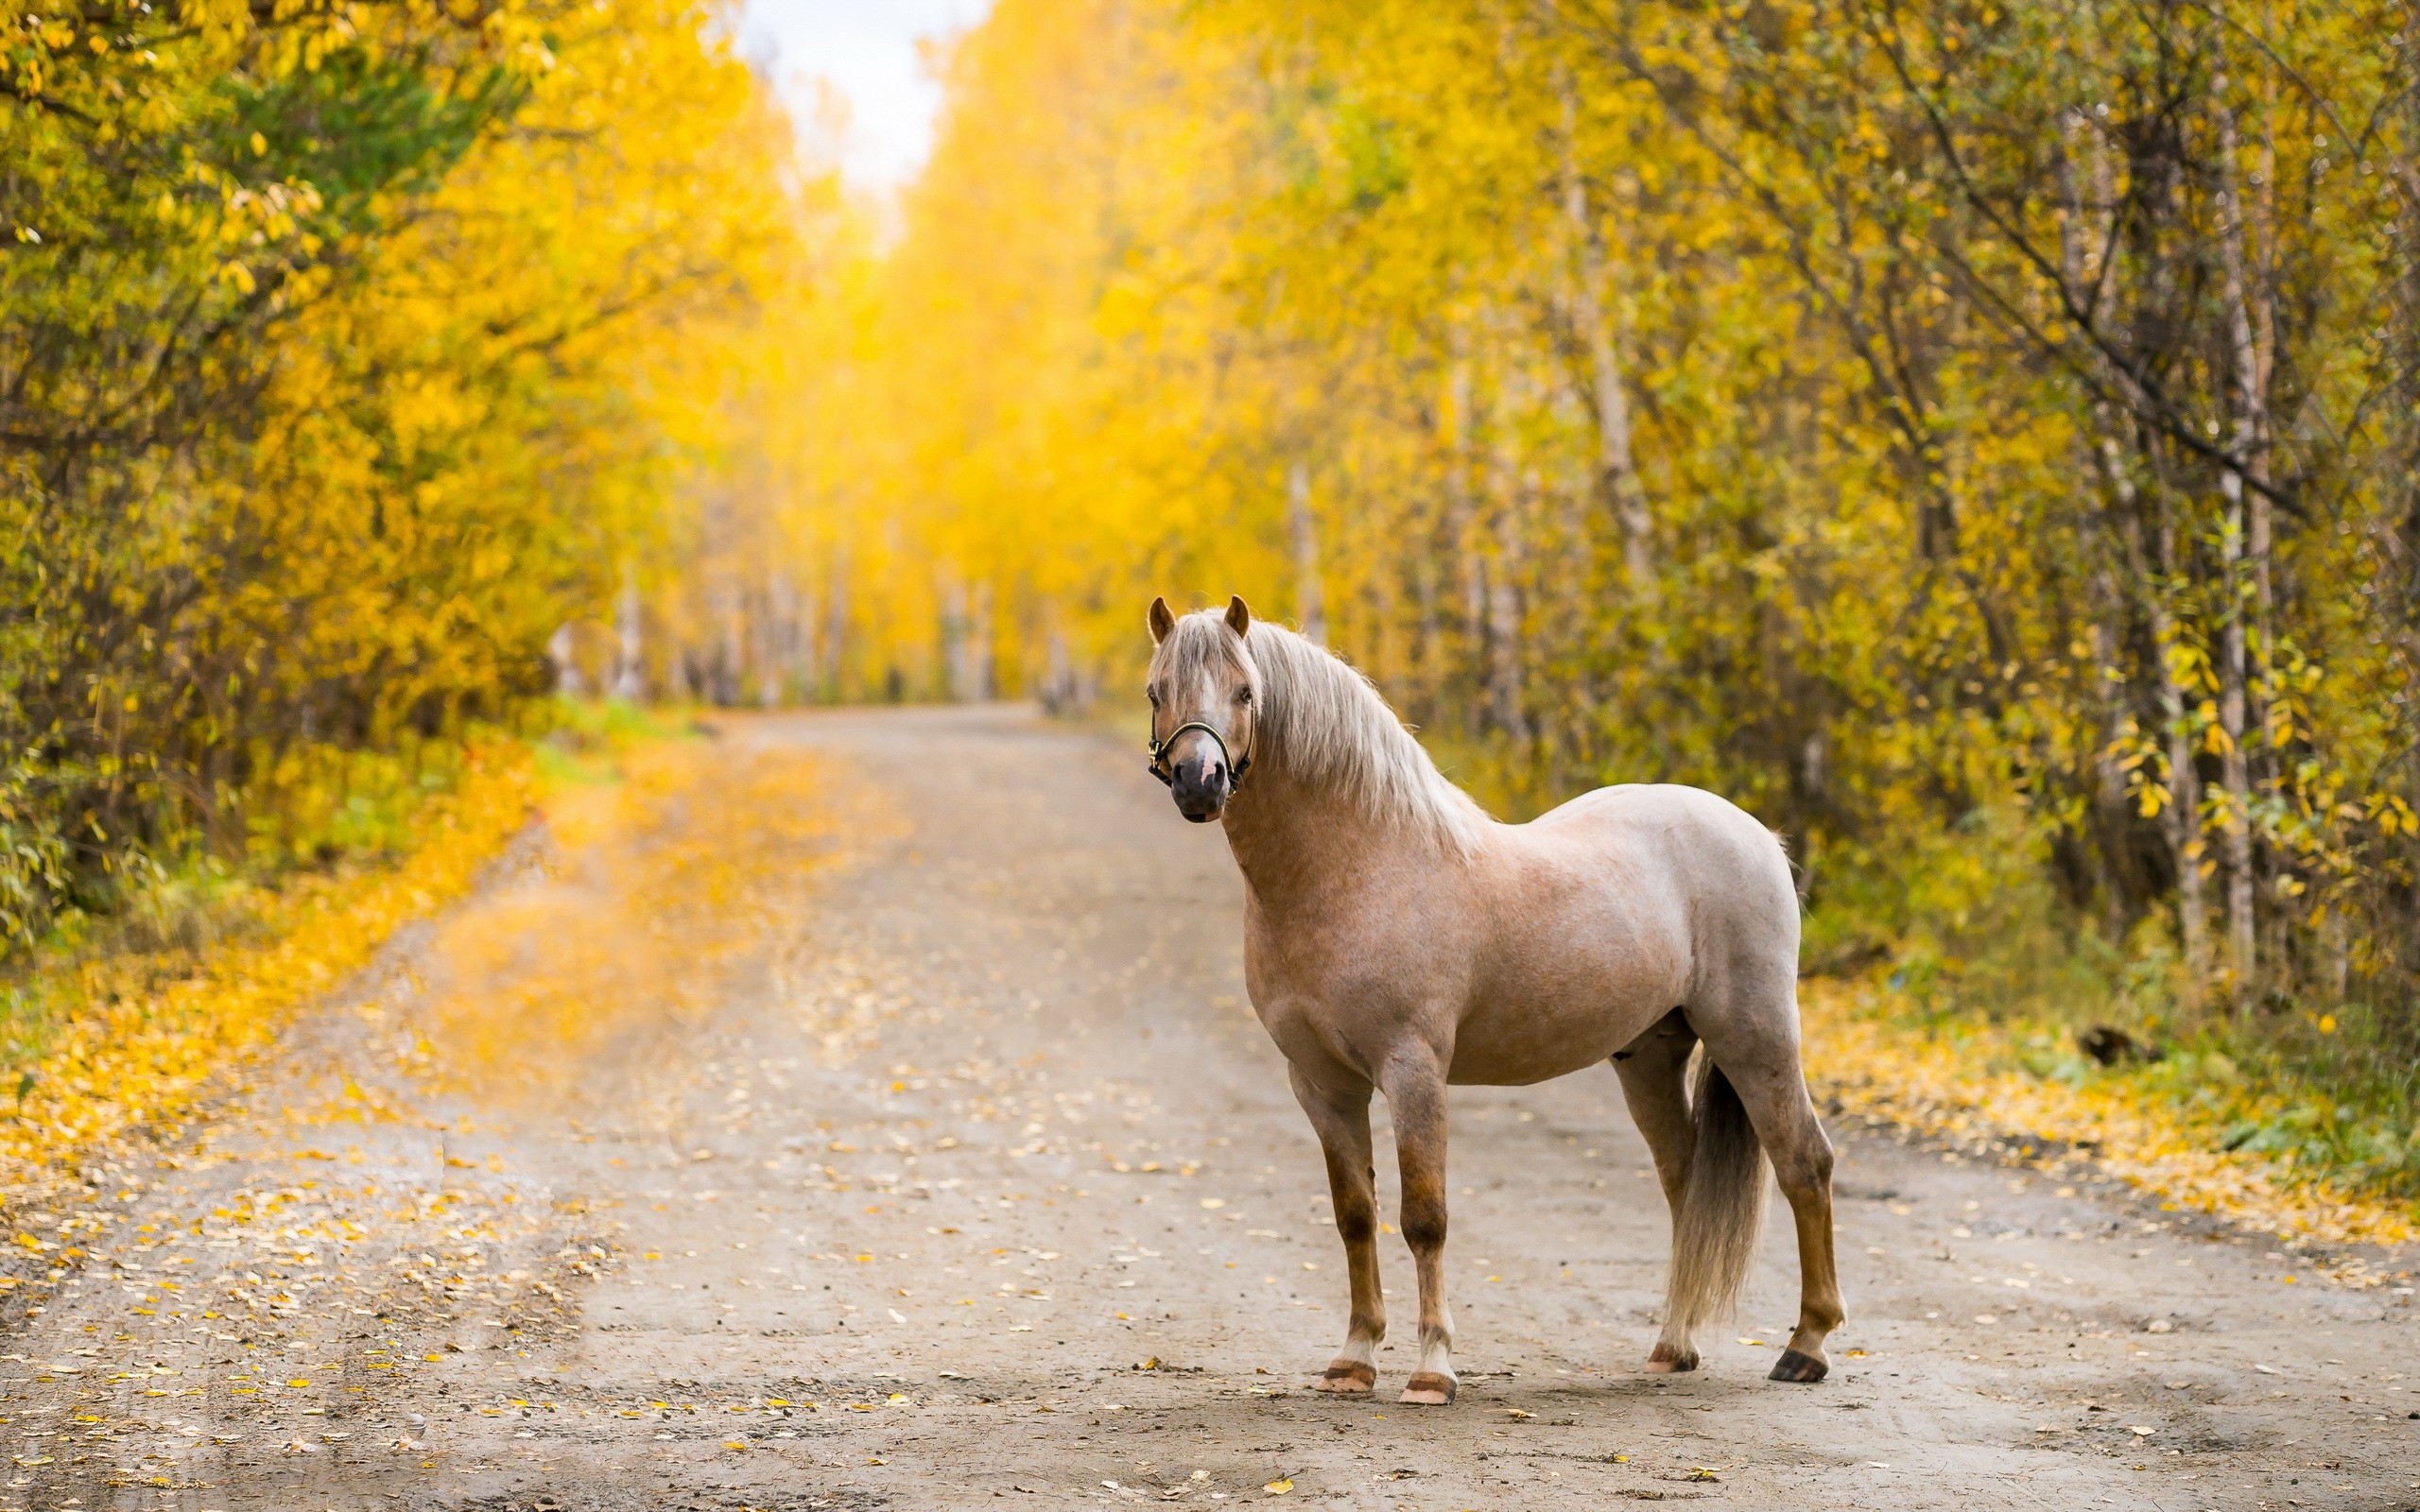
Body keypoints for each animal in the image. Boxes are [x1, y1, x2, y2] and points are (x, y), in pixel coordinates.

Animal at [1143, 595, 1842, 1406]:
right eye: (1158, 689)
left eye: (1247, 692)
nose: (1200, 782)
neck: (1359, 867)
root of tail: (1756, 834)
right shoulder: (1321, 1084)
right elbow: (1355, 1216)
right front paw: (1353, 1360)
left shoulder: (1413, 1070)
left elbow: (1424, 1217)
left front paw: (1432, 1370)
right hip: (1650, 1056)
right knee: (1686, 1184)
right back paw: (1674, 1347)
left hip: (1755, 1036)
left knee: (1804, 1163)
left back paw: (1806, 1347)